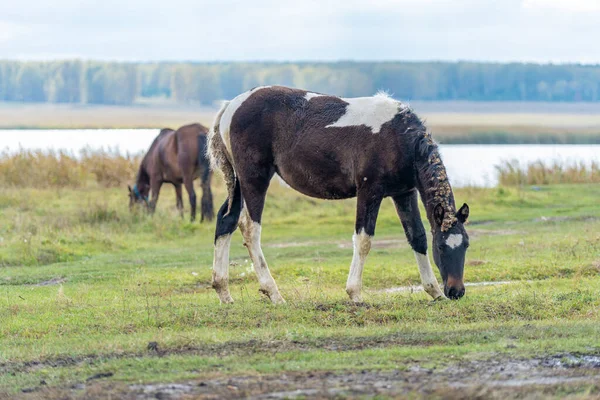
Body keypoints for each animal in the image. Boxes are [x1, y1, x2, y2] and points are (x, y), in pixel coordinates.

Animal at [209, 86, 472, 304]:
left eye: (466, 245)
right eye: (442, 247)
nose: (456, 291)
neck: (398, 137)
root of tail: (231, 105)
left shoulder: (404, 193)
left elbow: (417, 237)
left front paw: (434, 291)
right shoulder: (369, 190)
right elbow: (364, 239)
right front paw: (355, 293)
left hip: (239, 183)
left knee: (226, 220)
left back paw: (223, 291)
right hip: (255, 179)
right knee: (249, 227)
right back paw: (273, 293)